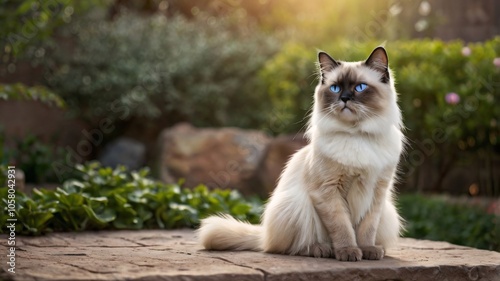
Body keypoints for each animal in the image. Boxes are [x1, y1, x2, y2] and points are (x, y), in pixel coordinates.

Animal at [197, 46, 404, 260]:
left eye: (360, 87)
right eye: (335, 88)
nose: (344, 98)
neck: (356, 135)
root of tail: (264, 236)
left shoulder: (377, 192)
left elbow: (367, 229)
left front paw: (367, 250)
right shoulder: (328, 191)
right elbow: (342, 228)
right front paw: (348, 252)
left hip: (387, 212)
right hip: (298, 205)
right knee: (289, 247)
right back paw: (323, 249)